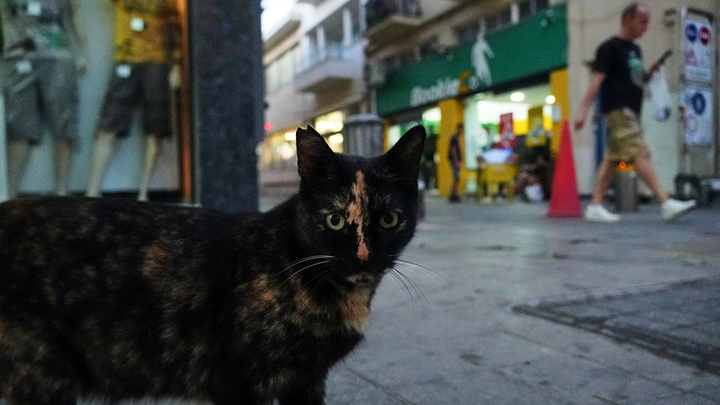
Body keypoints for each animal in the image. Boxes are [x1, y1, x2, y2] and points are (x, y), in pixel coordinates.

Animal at [0, 125, 425, 405]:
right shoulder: (238, 382)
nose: (363, 255)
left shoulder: (307, 382)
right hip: (45, 376)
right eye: (334, 220)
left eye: (389, 219)